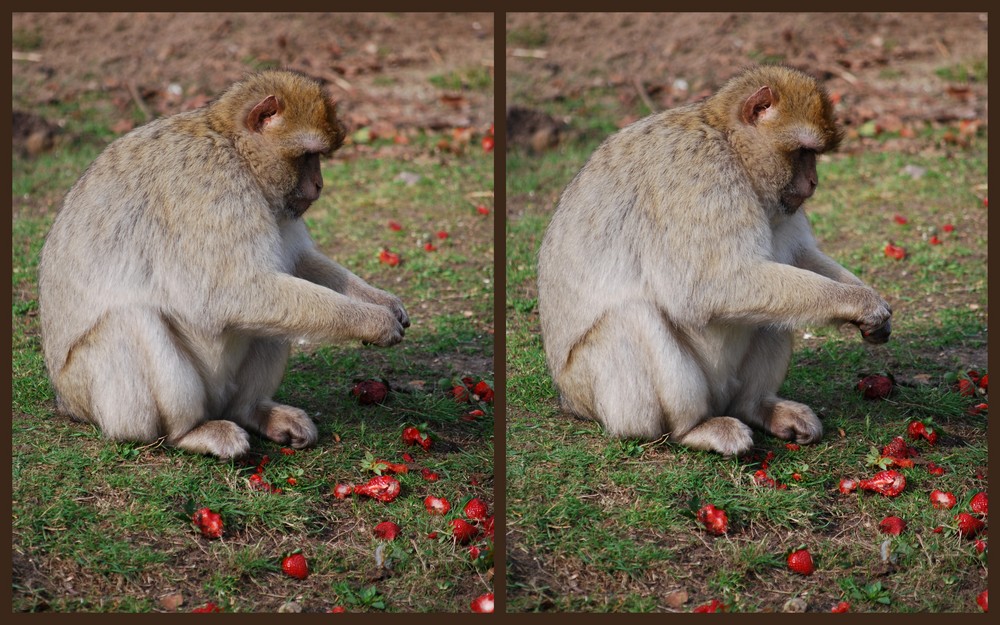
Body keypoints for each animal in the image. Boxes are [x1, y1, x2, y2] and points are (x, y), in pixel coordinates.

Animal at [37, 70, 408, 458]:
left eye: (319, 157)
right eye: (308, 156)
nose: (319, 185)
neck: (232, 145)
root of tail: (67, 403)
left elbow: (295, 261)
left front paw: (382, 301)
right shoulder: (211, 185)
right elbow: (233, 292)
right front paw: (374, 322)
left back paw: (252, 411)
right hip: (100, 397)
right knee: (131, 319)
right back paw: (190, 432)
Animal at [536, 64, 896, 454]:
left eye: (814, 154)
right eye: (803, 152)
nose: (814, 182)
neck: (728, 142)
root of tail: (569, 401)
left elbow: (798, 255)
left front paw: (868, 302)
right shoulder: (700, 175)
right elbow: (706, 287)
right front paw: (860, 303)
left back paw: (757, 406)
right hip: (599, 394)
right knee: (631, 316)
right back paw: (693, 428)